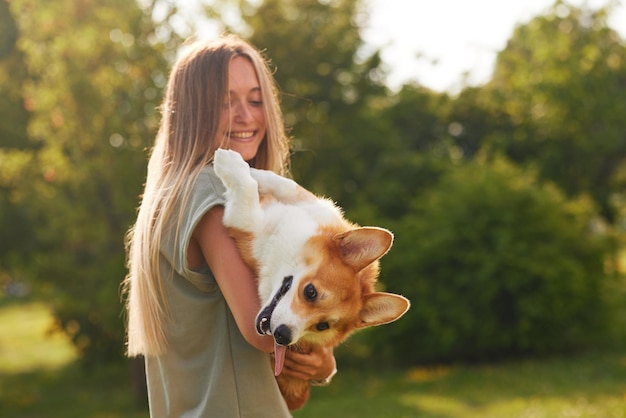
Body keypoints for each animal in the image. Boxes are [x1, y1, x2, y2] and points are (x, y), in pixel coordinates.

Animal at [213, 149, 410, 410]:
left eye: (322, 326)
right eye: (310, 292)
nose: (282, 336)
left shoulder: (246, 224)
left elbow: (246, 190)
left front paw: (230, 163)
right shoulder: (315, 208)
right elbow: (288, 185)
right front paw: (251, 169)